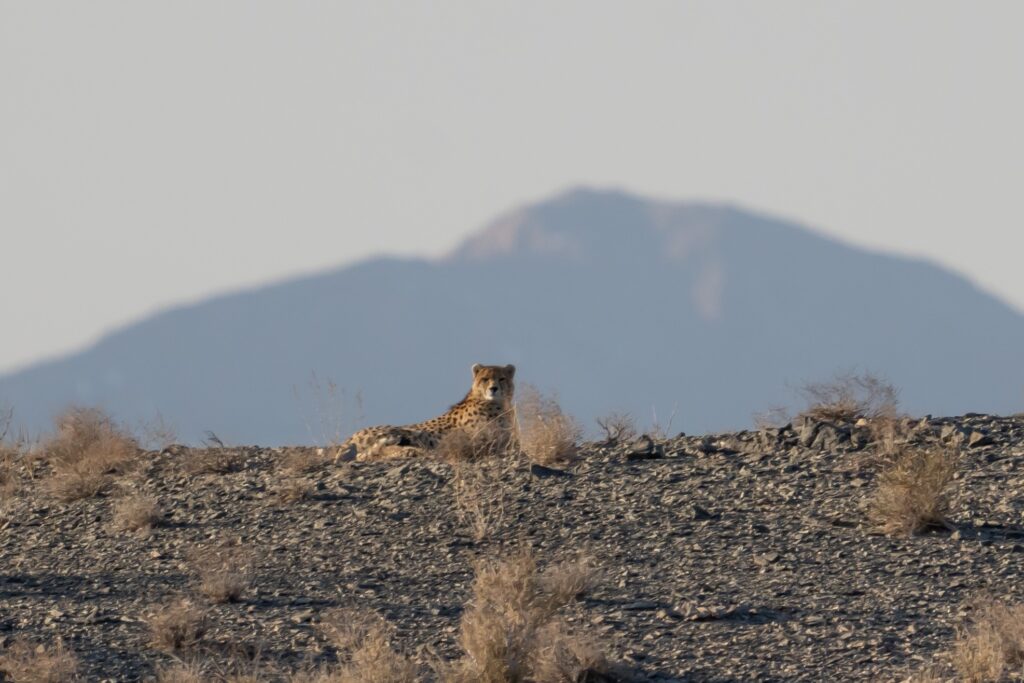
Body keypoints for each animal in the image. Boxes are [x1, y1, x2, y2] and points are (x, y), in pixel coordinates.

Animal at [335, 363, 516, 462]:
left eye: (502, 379)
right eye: (485, 379)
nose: (493, 388)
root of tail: (349, 438)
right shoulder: (480, 439)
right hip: (404, 431)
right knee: (375, 452)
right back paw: (414, 451)